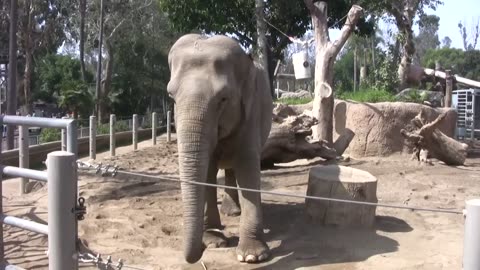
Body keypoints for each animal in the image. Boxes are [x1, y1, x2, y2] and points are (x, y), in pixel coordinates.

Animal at [168, 34, 274, 264]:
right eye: (171, 96)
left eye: (223, 98)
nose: (199, 252)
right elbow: (207, 169)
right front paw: (214, 241)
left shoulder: (251, 112)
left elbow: (247, 165)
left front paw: (252, 256)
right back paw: (229, 215)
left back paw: (234, 212)